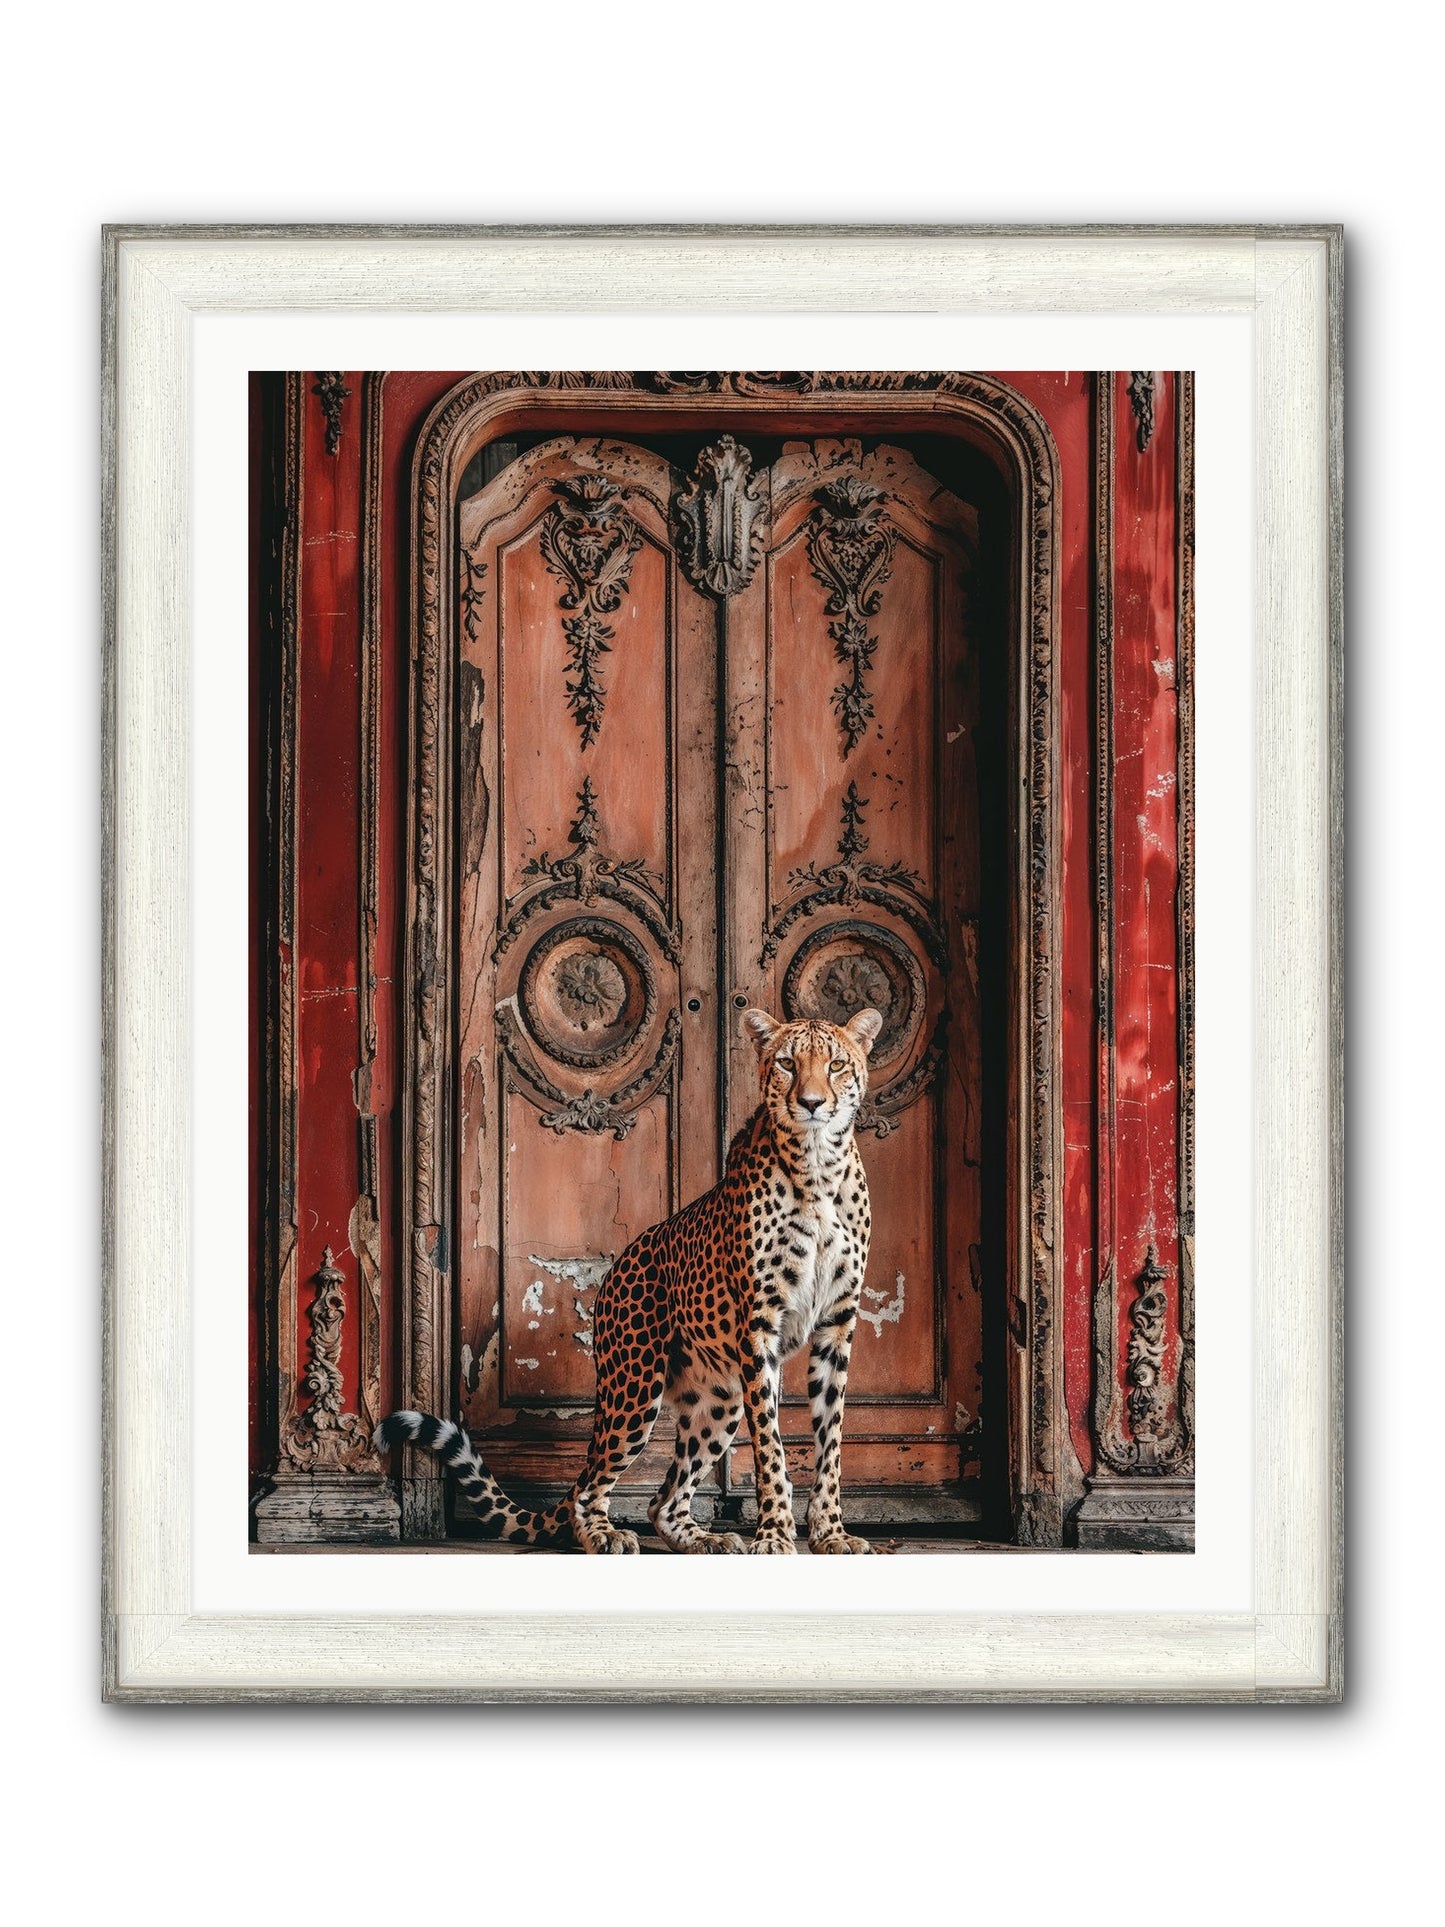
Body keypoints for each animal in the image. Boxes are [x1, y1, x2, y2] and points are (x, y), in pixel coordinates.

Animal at [375, 1004, 883, 1554]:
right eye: (788, 1064)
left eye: (836, 1064)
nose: (811, 1103)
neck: (818, 1168)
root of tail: (618, 1264)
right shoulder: (760, 1326)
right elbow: (770, 1443)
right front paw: (773, 1535)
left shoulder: (837, 1323)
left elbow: (830, 1440)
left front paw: (831, 1533)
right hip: (635, 1387)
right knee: (589, 1487)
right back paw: (605, 1534)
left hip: (719, 1399)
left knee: (662, 1501)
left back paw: (706, 1539)